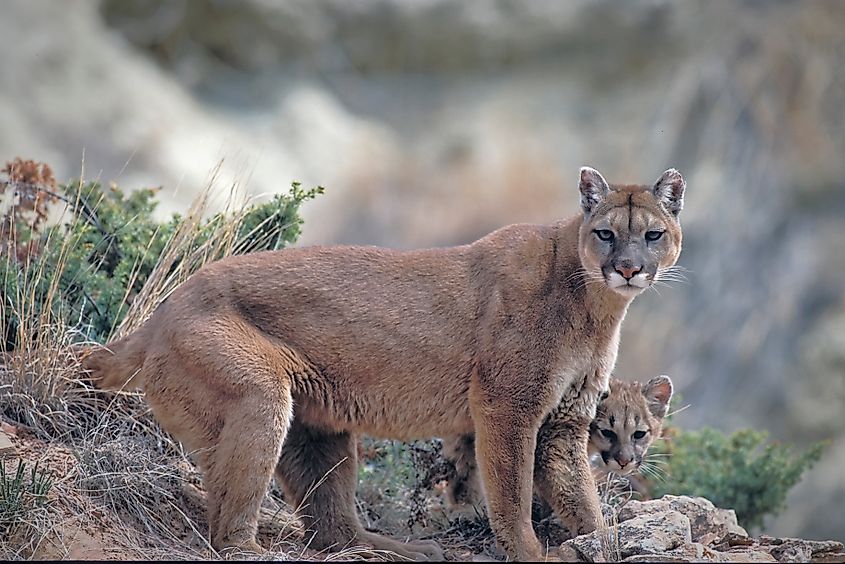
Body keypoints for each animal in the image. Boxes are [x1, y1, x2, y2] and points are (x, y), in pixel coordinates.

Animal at [82, 165, 684, 560]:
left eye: (653, 234)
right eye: (606, 233)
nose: (629, 269)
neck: (595, 306)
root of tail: (162, 310)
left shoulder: (564, 419)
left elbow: (576, 491)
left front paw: (599, 538)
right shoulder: (508, 408)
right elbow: (511, 491)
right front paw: (530, 551)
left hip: (317, 427)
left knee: (330, 527)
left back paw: (401, 549)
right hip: (258, 397)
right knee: (226, 527)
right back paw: (259, 549)